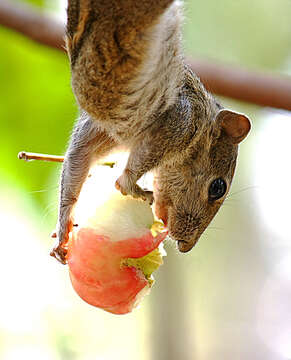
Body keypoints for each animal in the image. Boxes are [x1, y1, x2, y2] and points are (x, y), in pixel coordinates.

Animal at [51, 0, 252, 264]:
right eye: (218, 187)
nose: (186, 246)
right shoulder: (180, 124)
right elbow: (125, 177)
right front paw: (132, 188)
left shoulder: (99, 131)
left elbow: (77, 162)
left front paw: (63, 228)